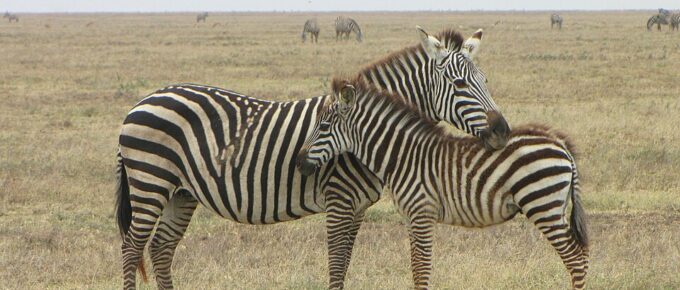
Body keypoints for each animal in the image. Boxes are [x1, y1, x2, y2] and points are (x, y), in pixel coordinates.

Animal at [298, 77, 588, 290]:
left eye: (323, 127)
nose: (300, 163)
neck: (403, 156)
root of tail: (560, 143)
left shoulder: (422, 213)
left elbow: (421, 269)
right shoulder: (413, 217)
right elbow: (417, 267)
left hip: (543, 205)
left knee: (575, 260)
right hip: (552, 207)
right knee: (581, 257)